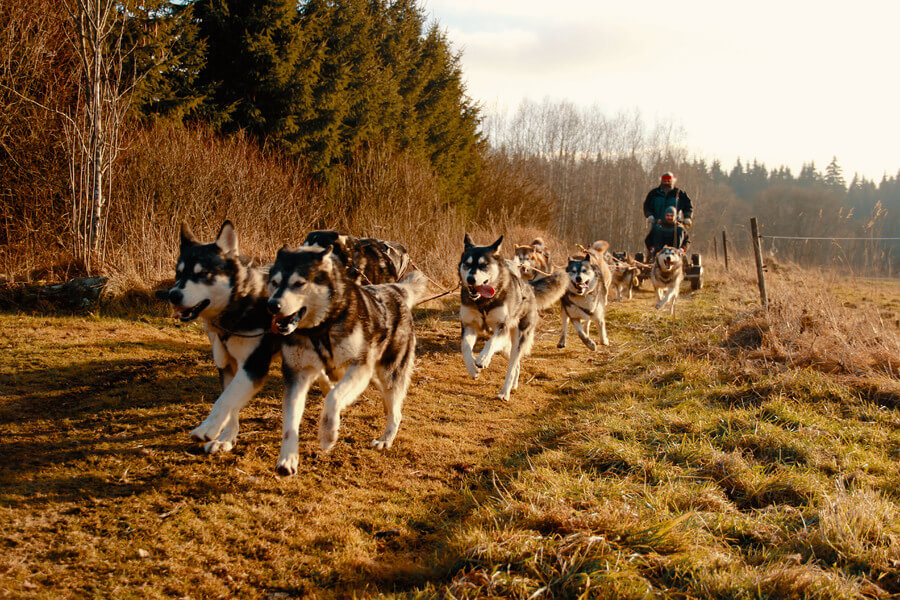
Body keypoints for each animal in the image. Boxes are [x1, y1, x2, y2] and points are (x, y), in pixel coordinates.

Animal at [266, 244, 428, 474]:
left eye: (299, 283)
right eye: (274, 282)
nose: (273, 305)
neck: (320, 330)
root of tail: (394, 289)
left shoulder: (359, 368)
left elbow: (333, 399)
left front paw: (328, 434)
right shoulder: (296, 375)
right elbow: (290, 422)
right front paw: (287, 459)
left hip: (389, 372)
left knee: (396, 411)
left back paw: (385, 439)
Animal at [460, 233, 568, 398]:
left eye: (484, 265)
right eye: (467, 263)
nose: (470, 279)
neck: (483, 302)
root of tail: (529, 287)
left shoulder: (502, 326)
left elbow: (490, 343)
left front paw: (482, 359)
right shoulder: (469, 326)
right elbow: (465, 347)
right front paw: (472, 369)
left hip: (518, 337)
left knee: (512, 366)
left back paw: (505, 392)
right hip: (506, 346)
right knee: (515, 364)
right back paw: (513, 385)